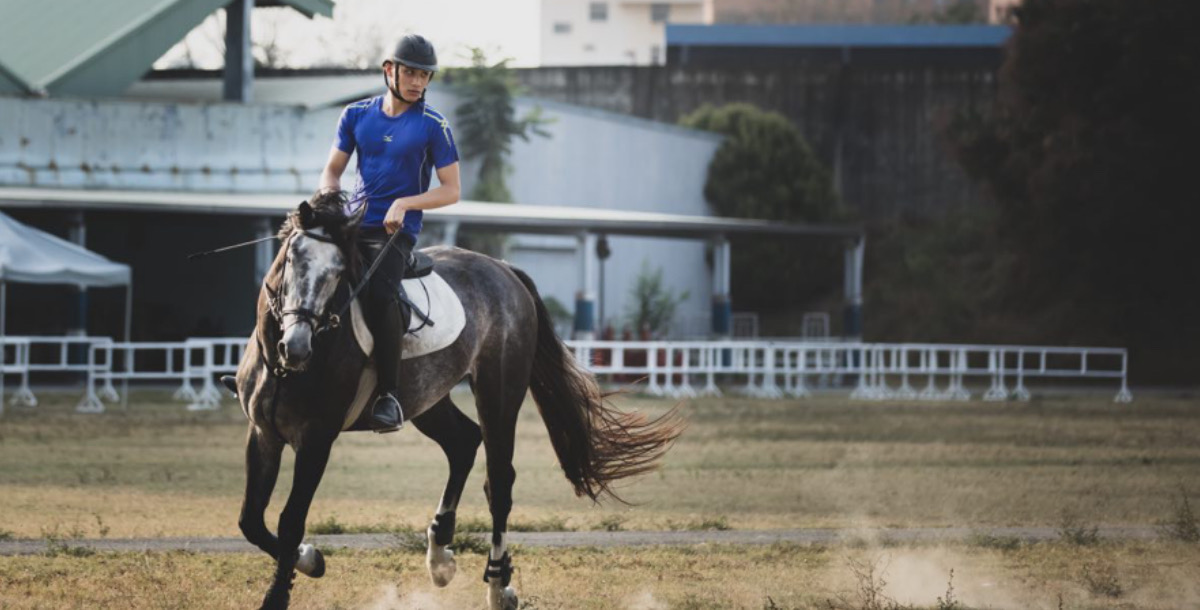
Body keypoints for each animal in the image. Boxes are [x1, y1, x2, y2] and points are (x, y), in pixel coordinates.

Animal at [231, 192, 686, 610]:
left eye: (339, 273)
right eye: (292, 261)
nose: (296, 346)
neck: (286, 367)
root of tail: (504, 270)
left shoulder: (316, 440)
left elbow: (290, 521)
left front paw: (282, 588)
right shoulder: (263, 434)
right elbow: (251, 519)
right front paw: (309, 558)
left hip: (498, 393)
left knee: (498, 481)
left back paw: (498, 586)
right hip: (426, 398)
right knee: (463, 442)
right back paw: (441, 557)